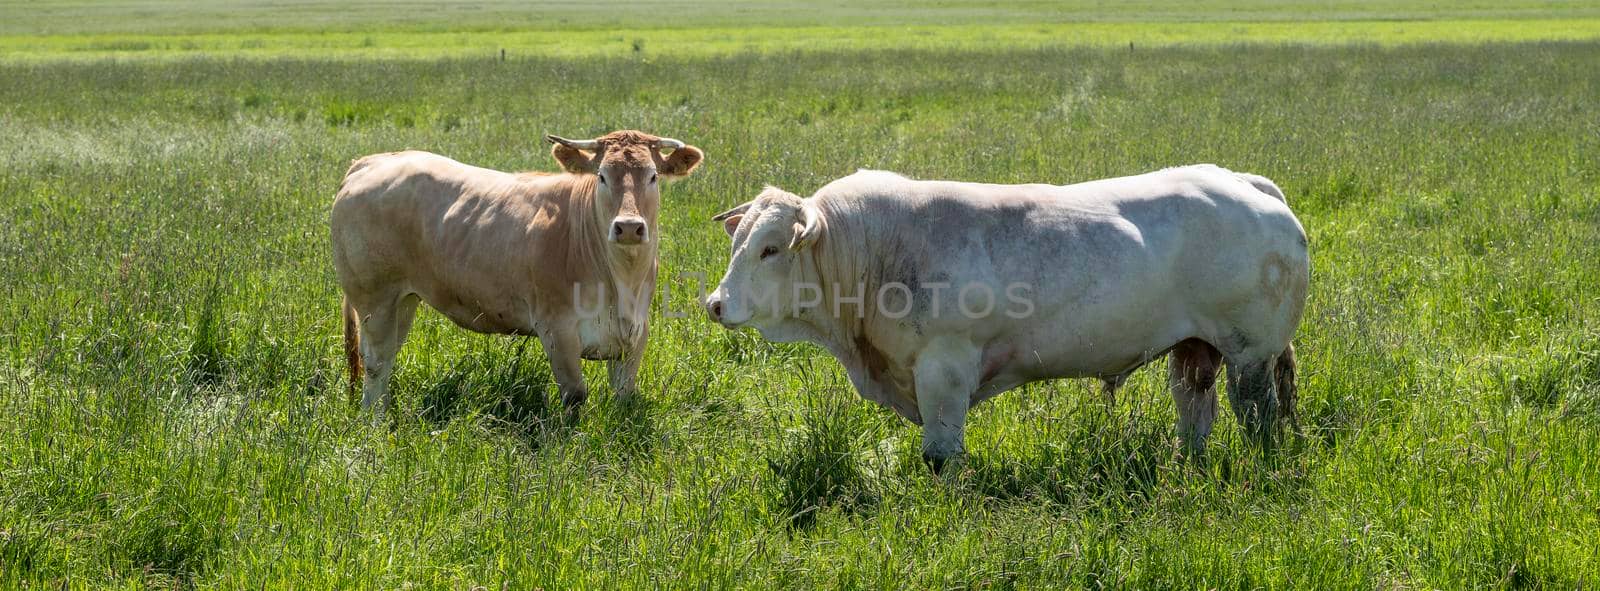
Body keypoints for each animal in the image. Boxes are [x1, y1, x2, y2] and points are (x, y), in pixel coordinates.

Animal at [334, 129, 704, 413]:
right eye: (601, 176)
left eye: (653, 176)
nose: (628, 227)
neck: (622, 282)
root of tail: (373, 162)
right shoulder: (557, 330)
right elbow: (575, 396)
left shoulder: (635, 335)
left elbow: (624, 397)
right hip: (374, 298)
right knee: (376, 362)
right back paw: (375, 423)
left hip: (404, 299)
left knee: (387, 358)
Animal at [707, 163, 1305, 467]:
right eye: (738, 241)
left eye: (770, 249)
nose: (715, 304)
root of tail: (1247, 183)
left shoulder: (943, 370)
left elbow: (941, 454)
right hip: (1194, 347)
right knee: (1194, 406)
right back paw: (1187, 465)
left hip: (1251, 353)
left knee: (1258, 414)